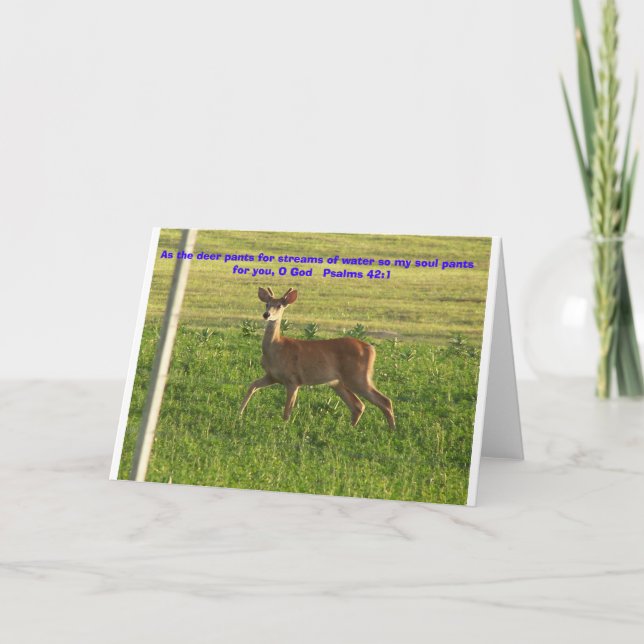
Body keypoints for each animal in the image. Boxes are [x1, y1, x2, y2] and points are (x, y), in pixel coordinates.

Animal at [239, 287, 395, 429]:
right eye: (267, 304)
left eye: (280, 305)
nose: (266, 314)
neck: (276, 349)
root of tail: (371, 348)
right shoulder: (272, 376)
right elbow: (252, 386)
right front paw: (239, 413)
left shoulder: (293, 379)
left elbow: (287, 411)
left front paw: (283, 428)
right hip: (338, 382)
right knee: (358, 405)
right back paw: (351, 429)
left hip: (357, 376)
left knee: (384, 401)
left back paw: (391, 430)